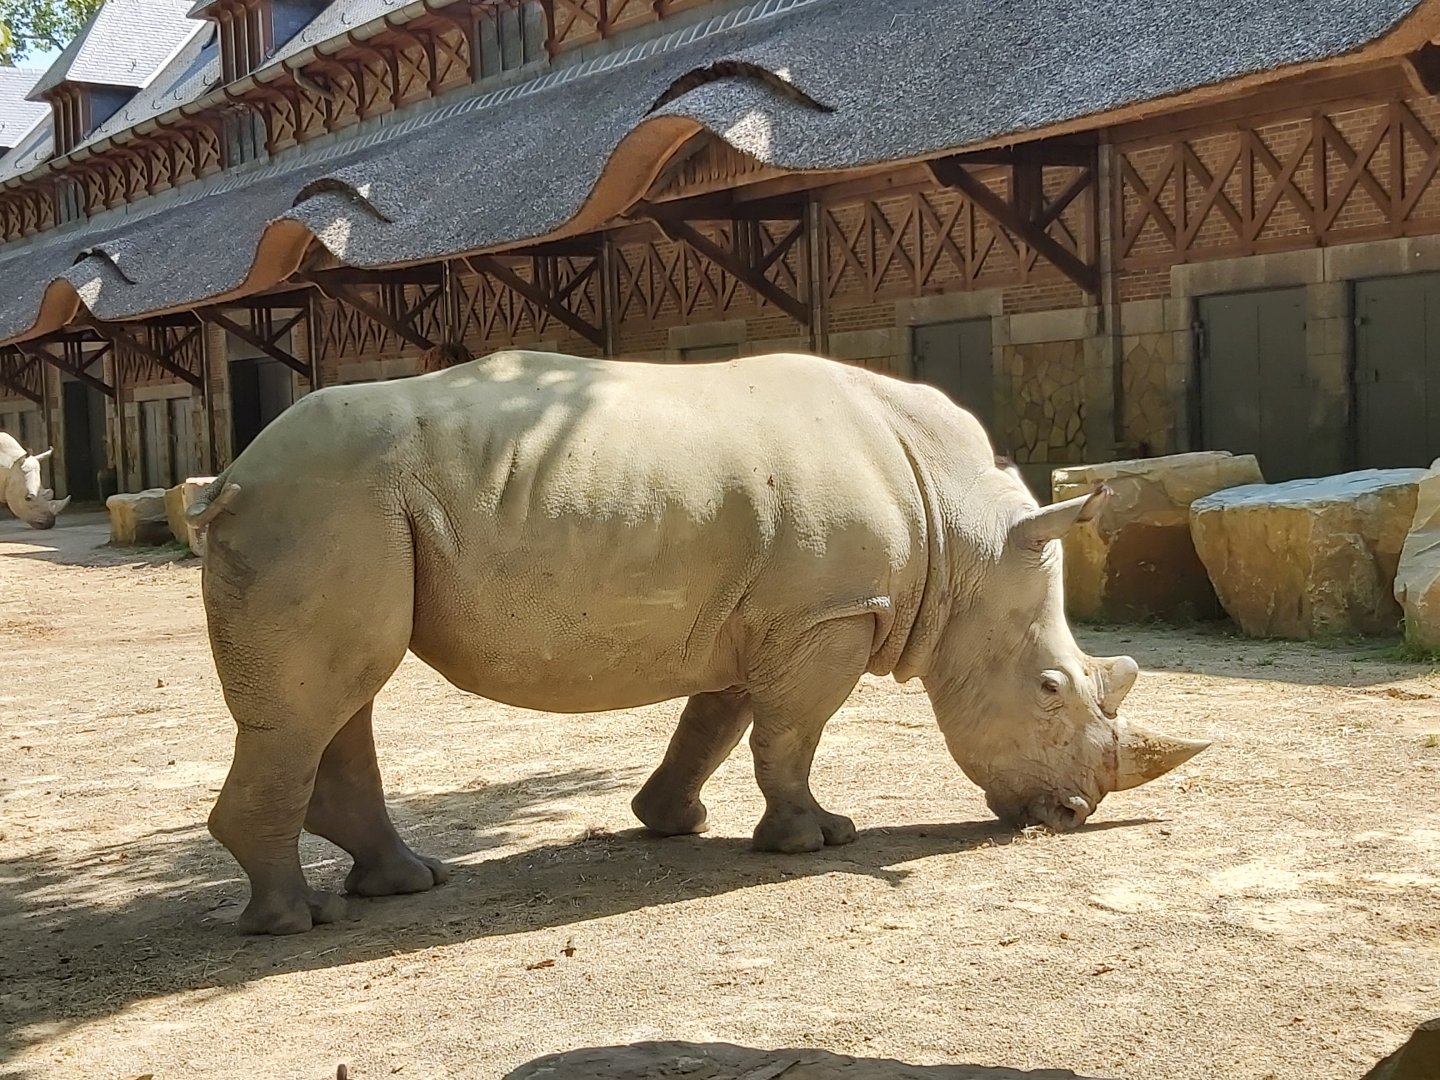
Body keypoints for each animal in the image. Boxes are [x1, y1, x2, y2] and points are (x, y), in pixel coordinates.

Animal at [189, 349, 1209, 936]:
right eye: (1051, 689)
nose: (1071, 814)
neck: (965, 535)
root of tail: (231, 475)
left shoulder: (769, 614)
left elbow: (716, 723)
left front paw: (671, 821)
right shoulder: (830, 613)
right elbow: (790, 734)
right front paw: (815, 840)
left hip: (349, 510)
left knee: (346, 693)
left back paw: (407, 886)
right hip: (326, 505)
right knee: (325, 696)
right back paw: (295, 923)